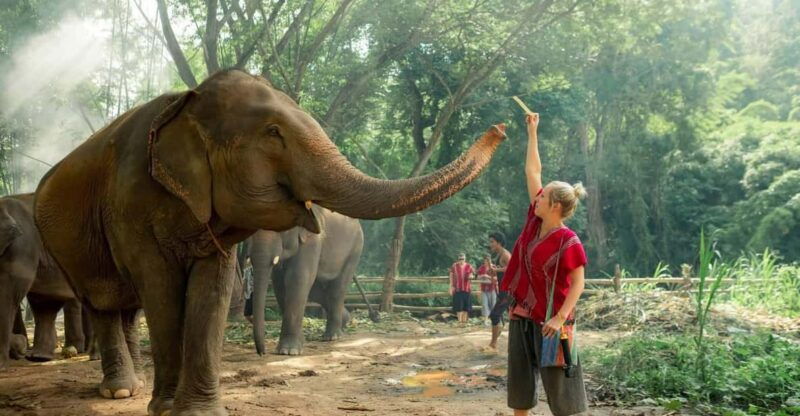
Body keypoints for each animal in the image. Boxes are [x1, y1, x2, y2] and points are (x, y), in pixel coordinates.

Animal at [242, 205, 363, 356]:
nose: (262, 353)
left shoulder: (313, 239)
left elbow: (298, 278)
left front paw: (288, 351)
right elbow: (280, 284)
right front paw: (300, 342)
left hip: (355, 249)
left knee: (337, 288)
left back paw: (332, 336)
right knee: (317, 292)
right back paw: (345, 321)